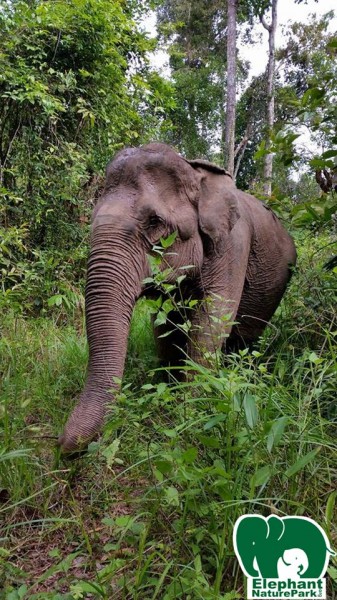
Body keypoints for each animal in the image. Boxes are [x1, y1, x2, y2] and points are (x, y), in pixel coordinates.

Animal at [58, 142, 296, 450]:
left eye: (154, 222)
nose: (62, 446)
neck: (195, 173)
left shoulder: (234, 243)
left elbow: (213, 319)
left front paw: (192, 408)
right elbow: (163, 322)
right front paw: (167, 390)